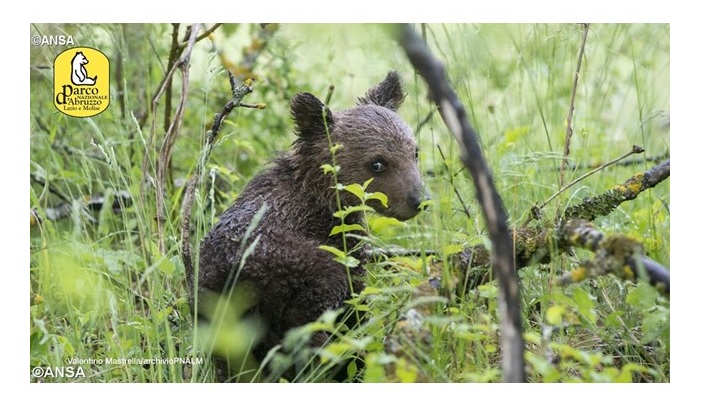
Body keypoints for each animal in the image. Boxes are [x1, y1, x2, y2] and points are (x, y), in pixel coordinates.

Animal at [190, 71, 428, 380]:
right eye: (377, 163)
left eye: (414, 152)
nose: (418, 200)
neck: (324, 197)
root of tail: (239, 280)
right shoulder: (343, 248)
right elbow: (356, 304)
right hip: (303, 276)